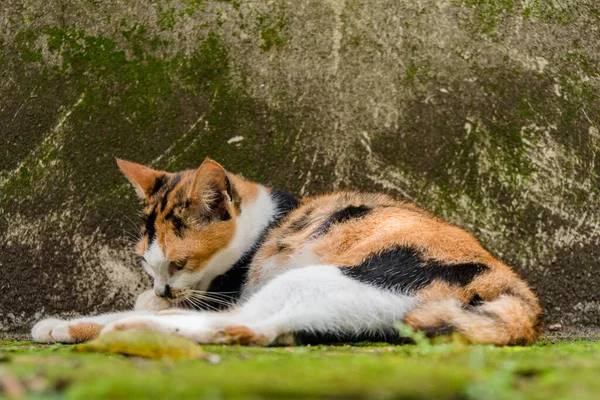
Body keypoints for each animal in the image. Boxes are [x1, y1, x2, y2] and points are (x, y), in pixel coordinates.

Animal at [30, 158, 540, 346]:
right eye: (144, 261)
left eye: (179, 261)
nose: (160, 287)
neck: (265, 221)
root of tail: (513, 290)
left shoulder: (219, 290)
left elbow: (182, 304)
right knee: (259, 329)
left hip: (323, 277)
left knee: (242, 323)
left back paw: (123, 329)